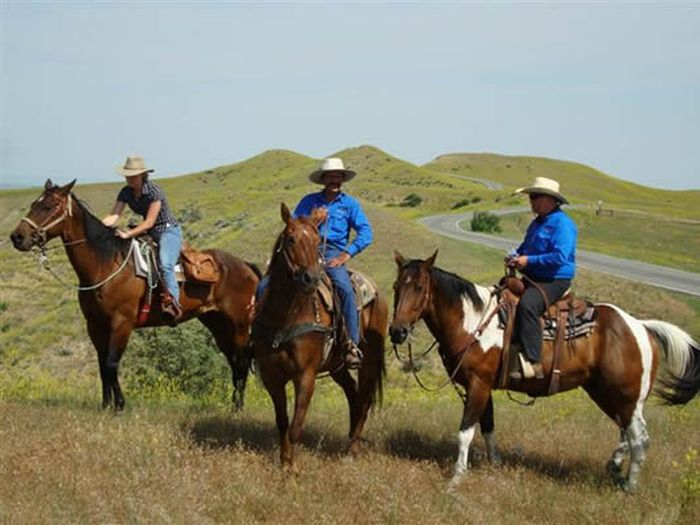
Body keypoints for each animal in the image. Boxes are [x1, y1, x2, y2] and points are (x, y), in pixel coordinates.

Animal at [10, 180, 262, 410]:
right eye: (33, 204)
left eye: (49, 206)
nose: (17, 237)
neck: (105, 266)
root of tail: (246, 266)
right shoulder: (95, 324)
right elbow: (102, 365)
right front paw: (106, 405)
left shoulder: (122, 322)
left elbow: (111, 363)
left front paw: (119, 405)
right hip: (217, 323)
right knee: (234, 361)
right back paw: (233, 406)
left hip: (238, 324)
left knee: (241, 361)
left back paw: (238, 408)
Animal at [253, 203, 388, 468]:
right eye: (291, 239)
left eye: (317, 242)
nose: (311, 278)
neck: (287, 314)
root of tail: (376, 292)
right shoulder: (272, 376)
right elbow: (282, 423)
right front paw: (284, 463)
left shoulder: (305, 375)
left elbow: (296, 427)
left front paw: (293, 469)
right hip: (337, 366)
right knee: (353, 395)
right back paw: (349, 443)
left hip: (369, 360)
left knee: (364, 399)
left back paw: (352, 450)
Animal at [388, 250, 700, 492]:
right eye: (395, 287)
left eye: (419, 287)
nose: (397, 332)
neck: (474, 321)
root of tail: (642, 327)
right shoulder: (482, 386)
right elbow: (488, 427)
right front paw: (495, 465)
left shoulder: (478, 384)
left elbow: (466, 431)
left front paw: (456, 480)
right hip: (607, 393)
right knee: (625, 430)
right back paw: (614, 467)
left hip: (626, 396)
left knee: (640, 438)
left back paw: (630, 486)